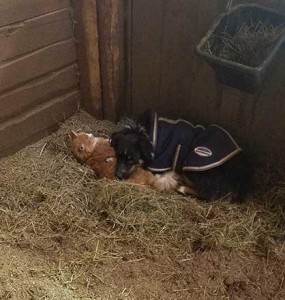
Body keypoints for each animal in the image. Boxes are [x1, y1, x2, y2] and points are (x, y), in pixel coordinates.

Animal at [110, 110, 252, 202]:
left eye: (131, 160)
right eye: (118, 154)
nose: (118, 176)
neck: (145, 136)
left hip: (194, 166)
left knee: (210, 194)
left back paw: (182, 187)